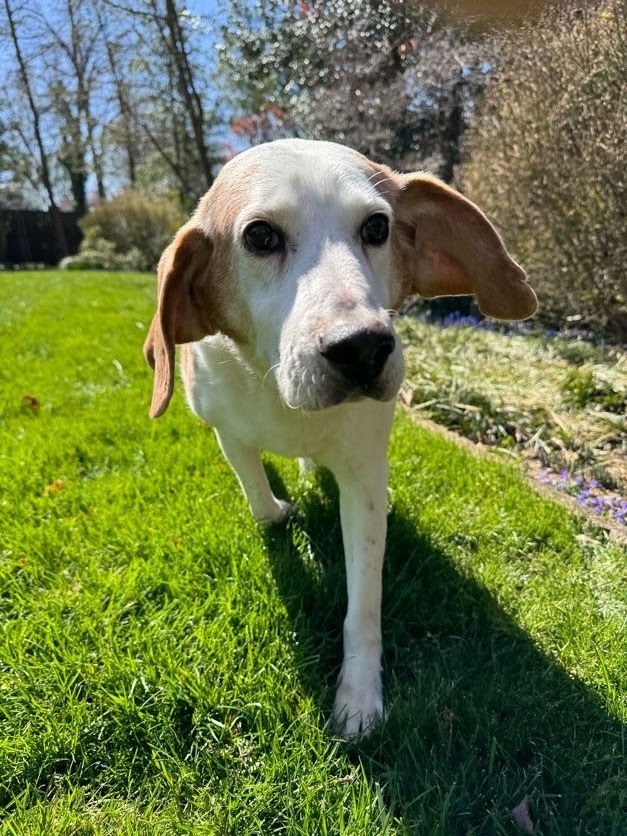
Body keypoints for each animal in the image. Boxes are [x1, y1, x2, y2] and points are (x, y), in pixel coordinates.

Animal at [145, 139, 536, 740]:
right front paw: (278, 515)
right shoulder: (226, 432)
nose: (362, 348)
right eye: (260, 236)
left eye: (377, 227)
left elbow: (364, 605)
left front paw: (359, 694)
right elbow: (259, 499)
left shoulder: (364, 477)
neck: (280, 391)